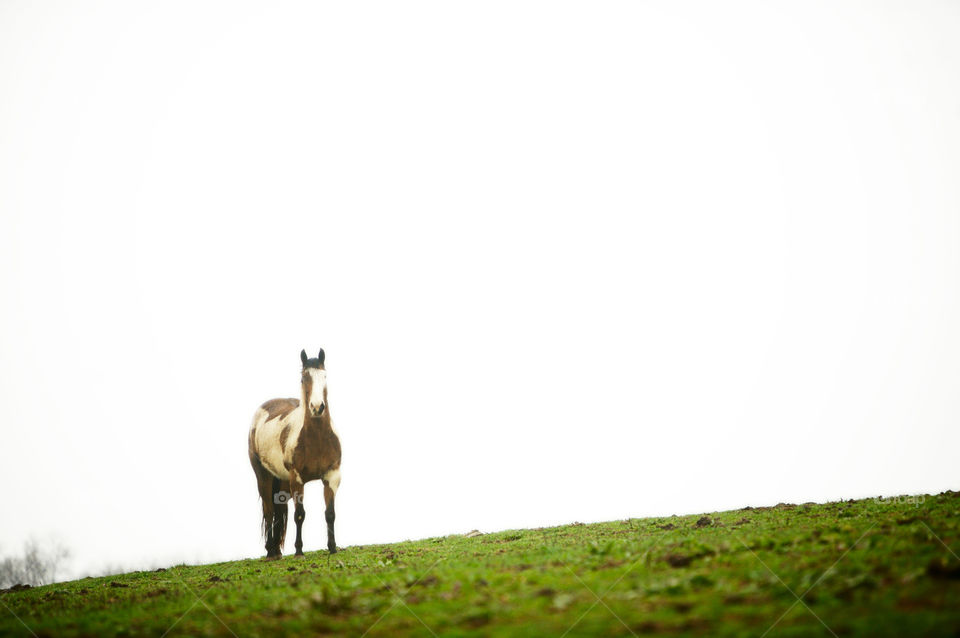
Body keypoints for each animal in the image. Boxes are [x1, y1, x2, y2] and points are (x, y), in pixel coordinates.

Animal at [248, 348, 342, 559]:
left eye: (324, 376)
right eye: (303, 377)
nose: (317, 407)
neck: (317, 439)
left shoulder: (332, 476)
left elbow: (330, 513)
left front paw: (332, 547)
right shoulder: (296, 479)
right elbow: (299, 514)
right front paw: (299, 550)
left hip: (282, 482)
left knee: (277, 511)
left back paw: (275, 550)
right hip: (263, 476)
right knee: (269, 510)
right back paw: (270, 552)